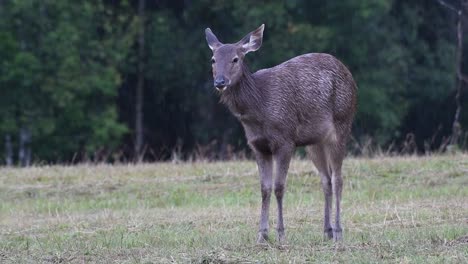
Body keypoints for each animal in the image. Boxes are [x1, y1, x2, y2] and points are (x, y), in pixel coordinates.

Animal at [203, 23, 356, 244]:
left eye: (236, 59)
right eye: (213, 59)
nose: (220, 81)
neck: (258, 109)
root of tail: (350, 76)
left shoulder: (285, 139)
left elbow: (279, 187)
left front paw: (281, 233)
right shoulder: (257, 145)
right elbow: (264, 188)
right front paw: (262, 235)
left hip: (342, 124)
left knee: (338, 179)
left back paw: (338, 232)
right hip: (314, 142)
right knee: (325, 179)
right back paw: (326, 230)